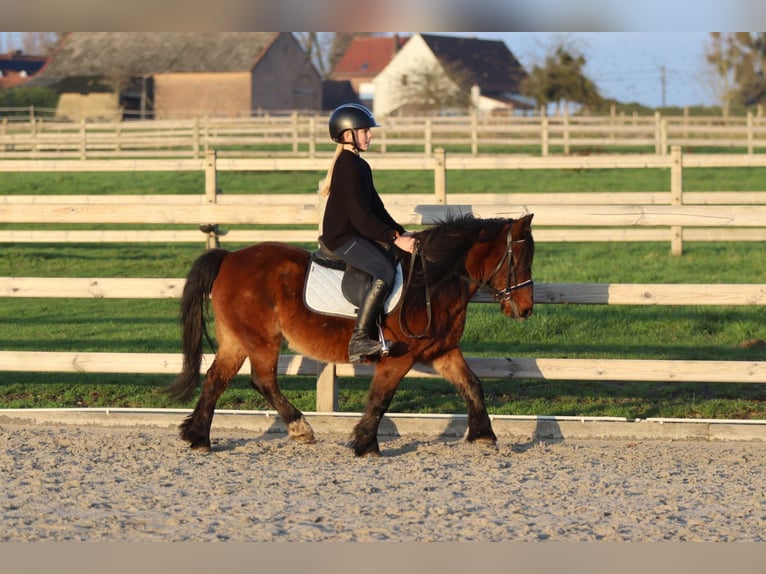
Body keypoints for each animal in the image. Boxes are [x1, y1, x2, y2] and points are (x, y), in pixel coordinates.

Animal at [167, 213, 535, 457]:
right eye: (519, 260)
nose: (527, 308)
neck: (430, 280)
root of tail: (230, 257)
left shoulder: (442, 350)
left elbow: (472, 384)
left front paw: (484, 435)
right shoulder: (399, 356)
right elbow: (381, 398)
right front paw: (365, 443)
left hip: (236, 338)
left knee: (217, 378)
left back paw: (198, 437)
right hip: (261, 339)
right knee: (262, 379)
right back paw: (300, 428)